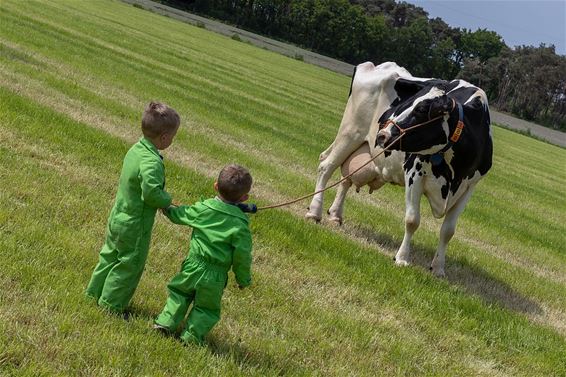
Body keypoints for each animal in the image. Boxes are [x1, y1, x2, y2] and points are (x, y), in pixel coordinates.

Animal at [378, 78, 492, 274]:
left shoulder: (469, 188)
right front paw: (401, 258)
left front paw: (438, 267)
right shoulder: (414, 174)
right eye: (408, 103)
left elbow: (448, 231)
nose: (383, 134)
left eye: (421, 110)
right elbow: (412, 220)